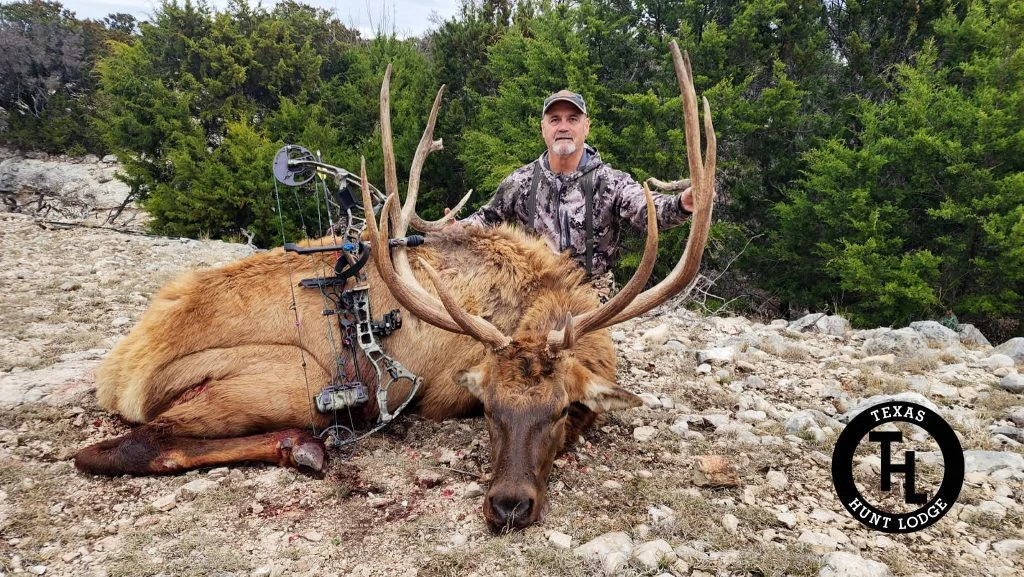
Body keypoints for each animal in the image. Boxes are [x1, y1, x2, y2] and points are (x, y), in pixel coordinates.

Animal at [73, 41, 715, 532]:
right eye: (489, 410)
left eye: (561, 410)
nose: (507, 505)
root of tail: (119, 374)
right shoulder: (440, 393)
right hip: (288, 379)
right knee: (119, 446)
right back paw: (304, 446)